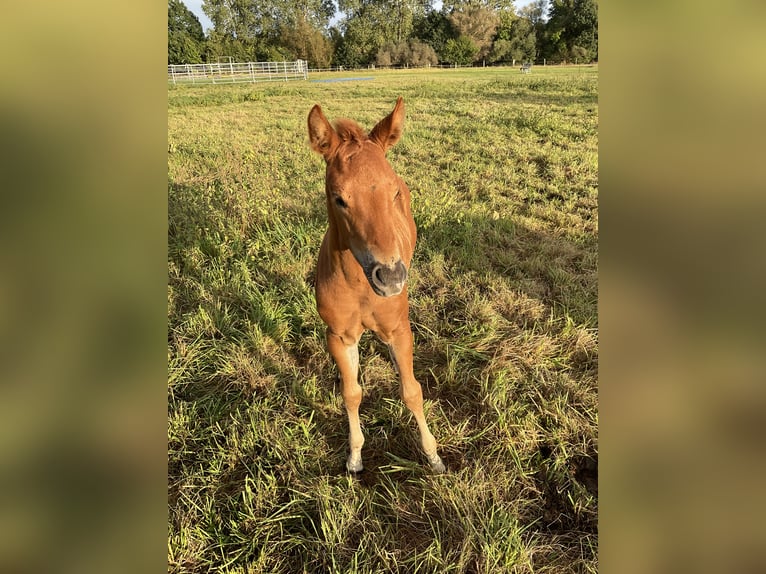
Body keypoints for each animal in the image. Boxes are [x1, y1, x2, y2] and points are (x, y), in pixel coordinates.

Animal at [307, 97, 446, 474]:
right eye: (339, 198)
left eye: (393, 190)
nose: (392, 277)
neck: (361, 287)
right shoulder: (339, 336)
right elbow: (351, 393)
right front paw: (354, 457)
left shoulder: (399, 329)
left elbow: (411, 390)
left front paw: (433, 456)